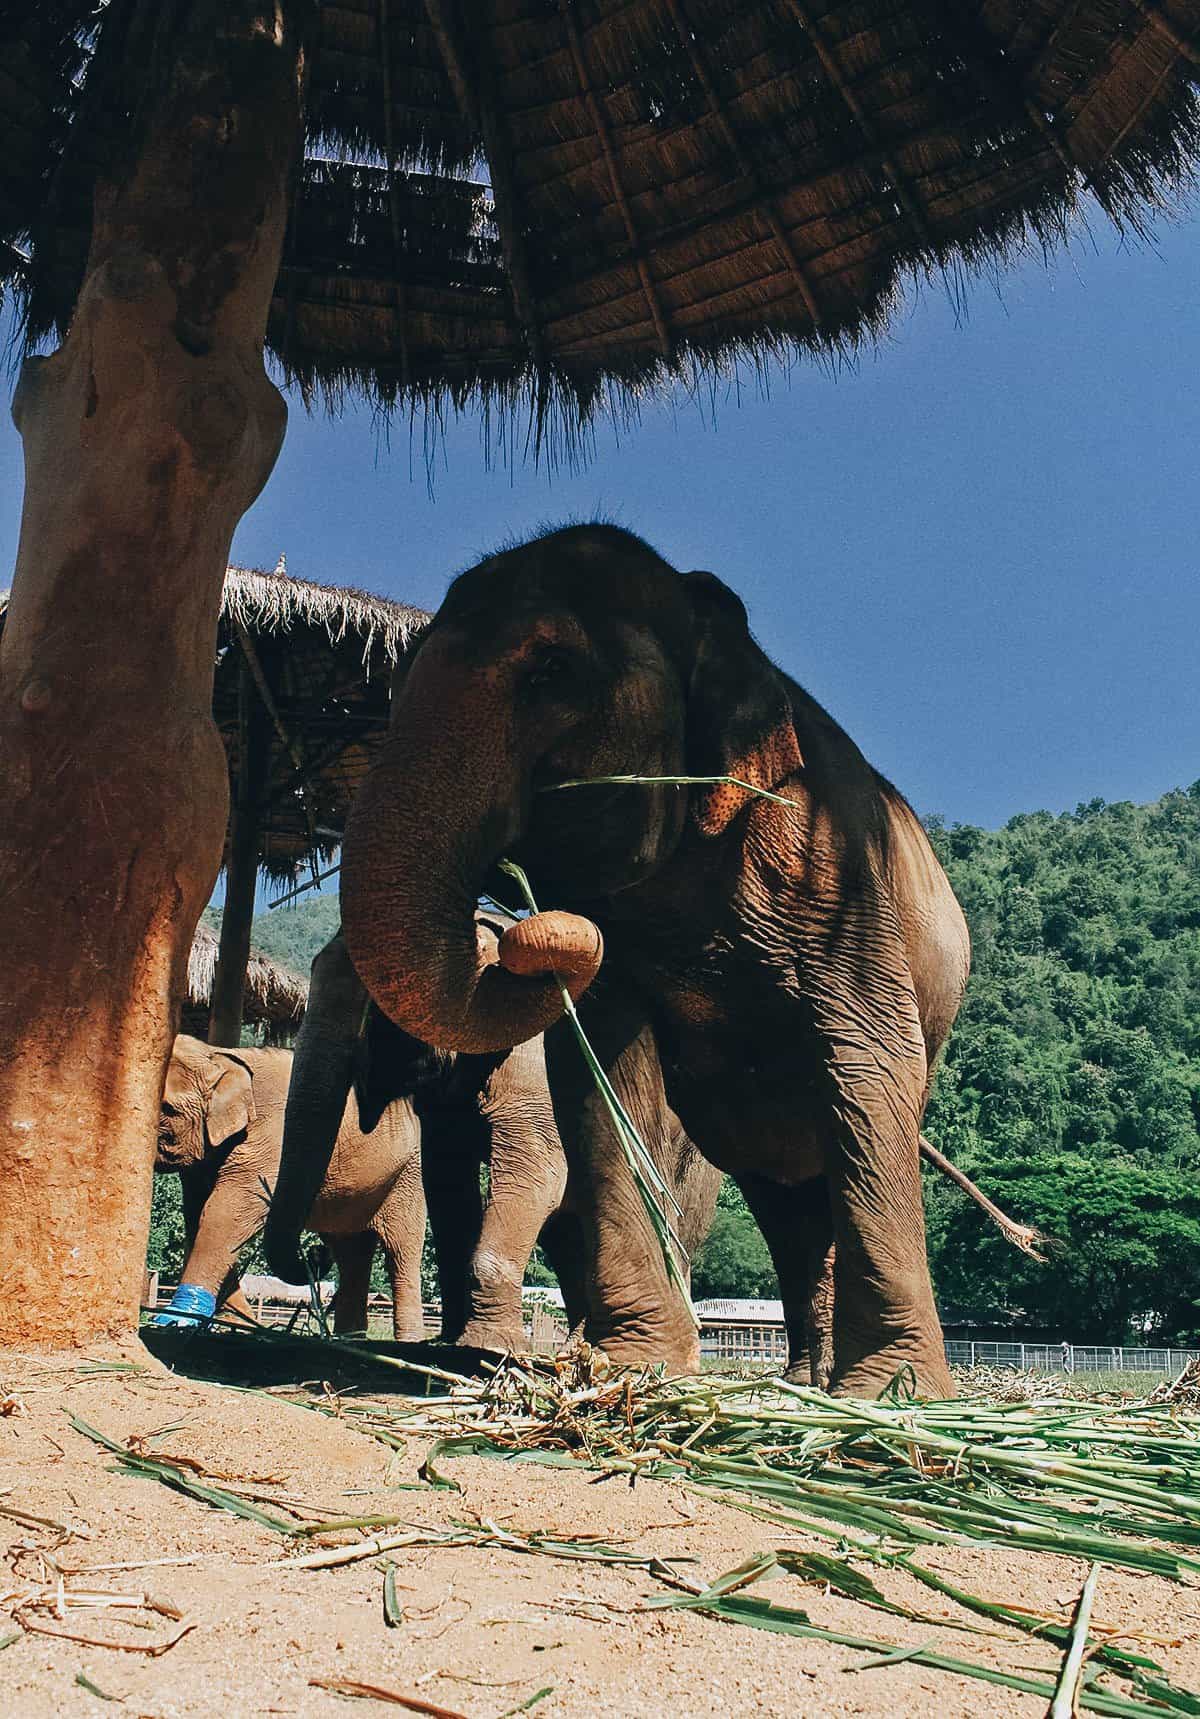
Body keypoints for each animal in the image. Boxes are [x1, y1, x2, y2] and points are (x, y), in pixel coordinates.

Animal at [153, 1031, 424, 1340]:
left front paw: (175, 1322)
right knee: (351, 1253)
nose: (316, 1255)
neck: (218, 1055)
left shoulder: (270, 1143)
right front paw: (234, 1325)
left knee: (401, 1252)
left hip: (410, 1176)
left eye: (167, 1108)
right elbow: (197, 1216)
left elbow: (225, 1215)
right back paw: (346, 1337)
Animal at [264, 921, 718, 1361]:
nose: (314, 1256)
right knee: (568, 1236)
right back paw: (578, 1348)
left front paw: (490, 1345)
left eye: (375, 1009)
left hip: (693, 1164)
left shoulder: (534, 1083)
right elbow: (447, 1183)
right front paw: (451, 1341)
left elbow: (538, 1177)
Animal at [336, 519, 969, 1395]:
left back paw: (821, 1385)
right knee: (788, 1205)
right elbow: (607, 1076)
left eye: (551, 670)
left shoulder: (833, 871)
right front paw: (633, 1363)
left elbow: (867, 1057)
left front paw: (894, 1392)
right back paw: (799, 1378)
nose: (524, 927)